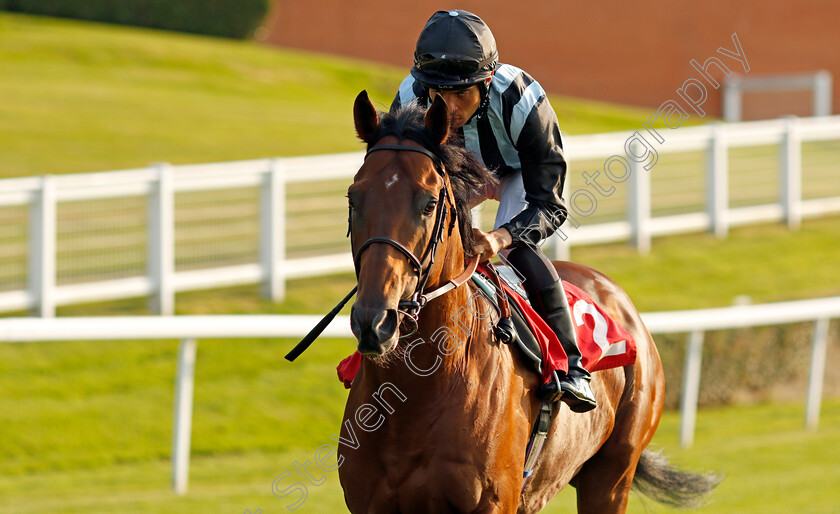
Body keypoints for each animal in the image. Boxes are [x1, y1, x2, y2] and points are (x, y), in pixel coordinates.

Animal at [338, 90, 720, 510]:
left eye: (428, 203)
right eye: (353, 198)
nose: (375, 321)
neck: (418, 391)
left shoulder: (493, 501)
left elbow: (547, 204)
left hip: (612, 475)